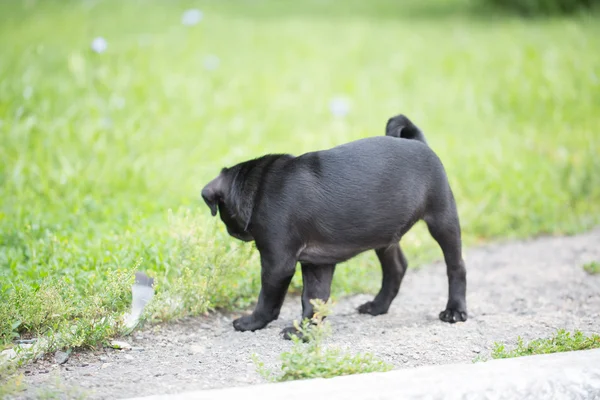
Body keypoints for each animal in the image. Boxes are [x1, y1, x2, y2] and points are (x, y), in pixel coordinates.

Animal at [199, 114, 466, 340]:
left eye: (223, 214)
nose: (232, 231)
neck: (258, 187)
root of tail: (418, 142)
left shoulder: (278, 263)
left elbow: (269, 299)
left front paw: (252, 323)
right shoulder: (317, 263)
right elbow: (313, 299)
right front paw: (305, 331)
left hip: (442, 219)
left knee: (456, 266)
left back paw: (454, 310)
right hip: (383, 235)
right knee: (396, 268)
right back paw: (378, 306)